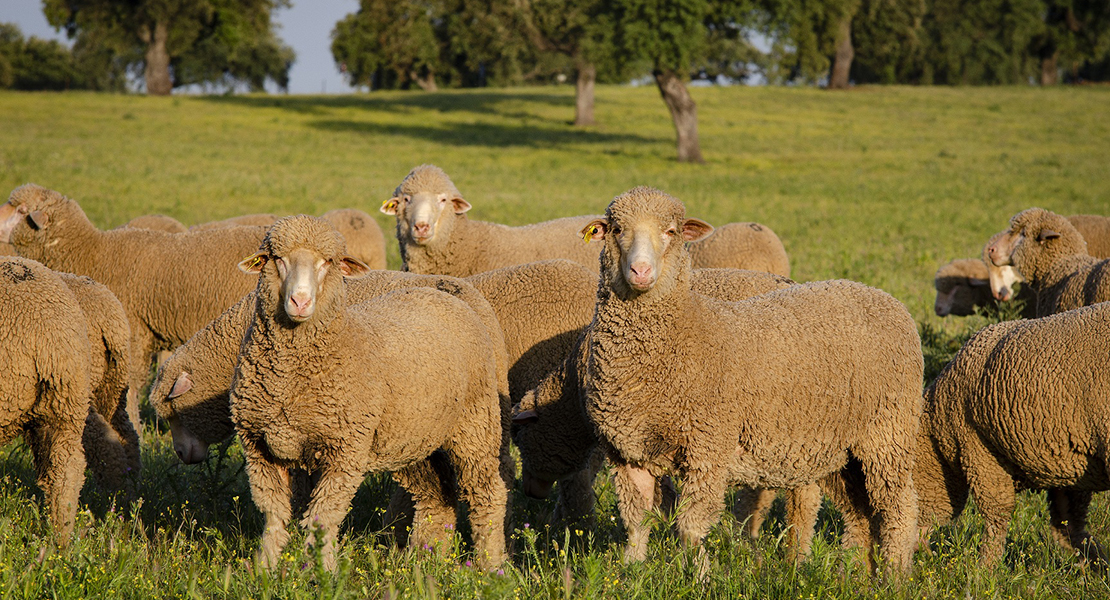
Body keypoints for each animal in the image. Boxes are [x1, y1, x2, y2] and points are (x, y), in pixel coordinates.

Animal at [230, 216, 508, 572]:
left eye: (328, 262)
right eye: (276, 259)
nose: (300, 302)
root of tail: (444, 295)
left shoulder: (344, 450)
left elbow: (323, 517)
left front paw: (322, 572)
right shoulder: (259, 447)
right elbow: (274, 515)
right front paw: (265, 569)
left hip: (476, 424)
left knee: (487, 493)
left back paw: (491, 565)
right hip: (413, 438)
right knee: (437, 496)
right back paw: (426, 560)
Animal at [577, 188, 923, 576]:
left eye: (671, 232)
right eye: (617, 229)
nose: (641, 271)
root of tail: (885, 298)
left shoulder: (708, 447)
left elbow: (690, 526)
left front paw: (701, 576)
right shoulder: (626, 452)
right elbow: (636, 522)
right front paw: (632, 572)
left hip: (888, 433)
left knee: (899, 508)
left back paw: (895, 574)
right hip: (838, 450)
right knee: (860, 515)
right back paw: (855, 575)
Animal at [914, 301, 1110, 563]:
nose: (919, 549)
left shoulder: (979, 451)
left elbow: (997, 515)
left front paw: (985, 567)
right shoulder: (1069, 463)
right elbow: (1068, 526)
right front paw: (1095, 563)